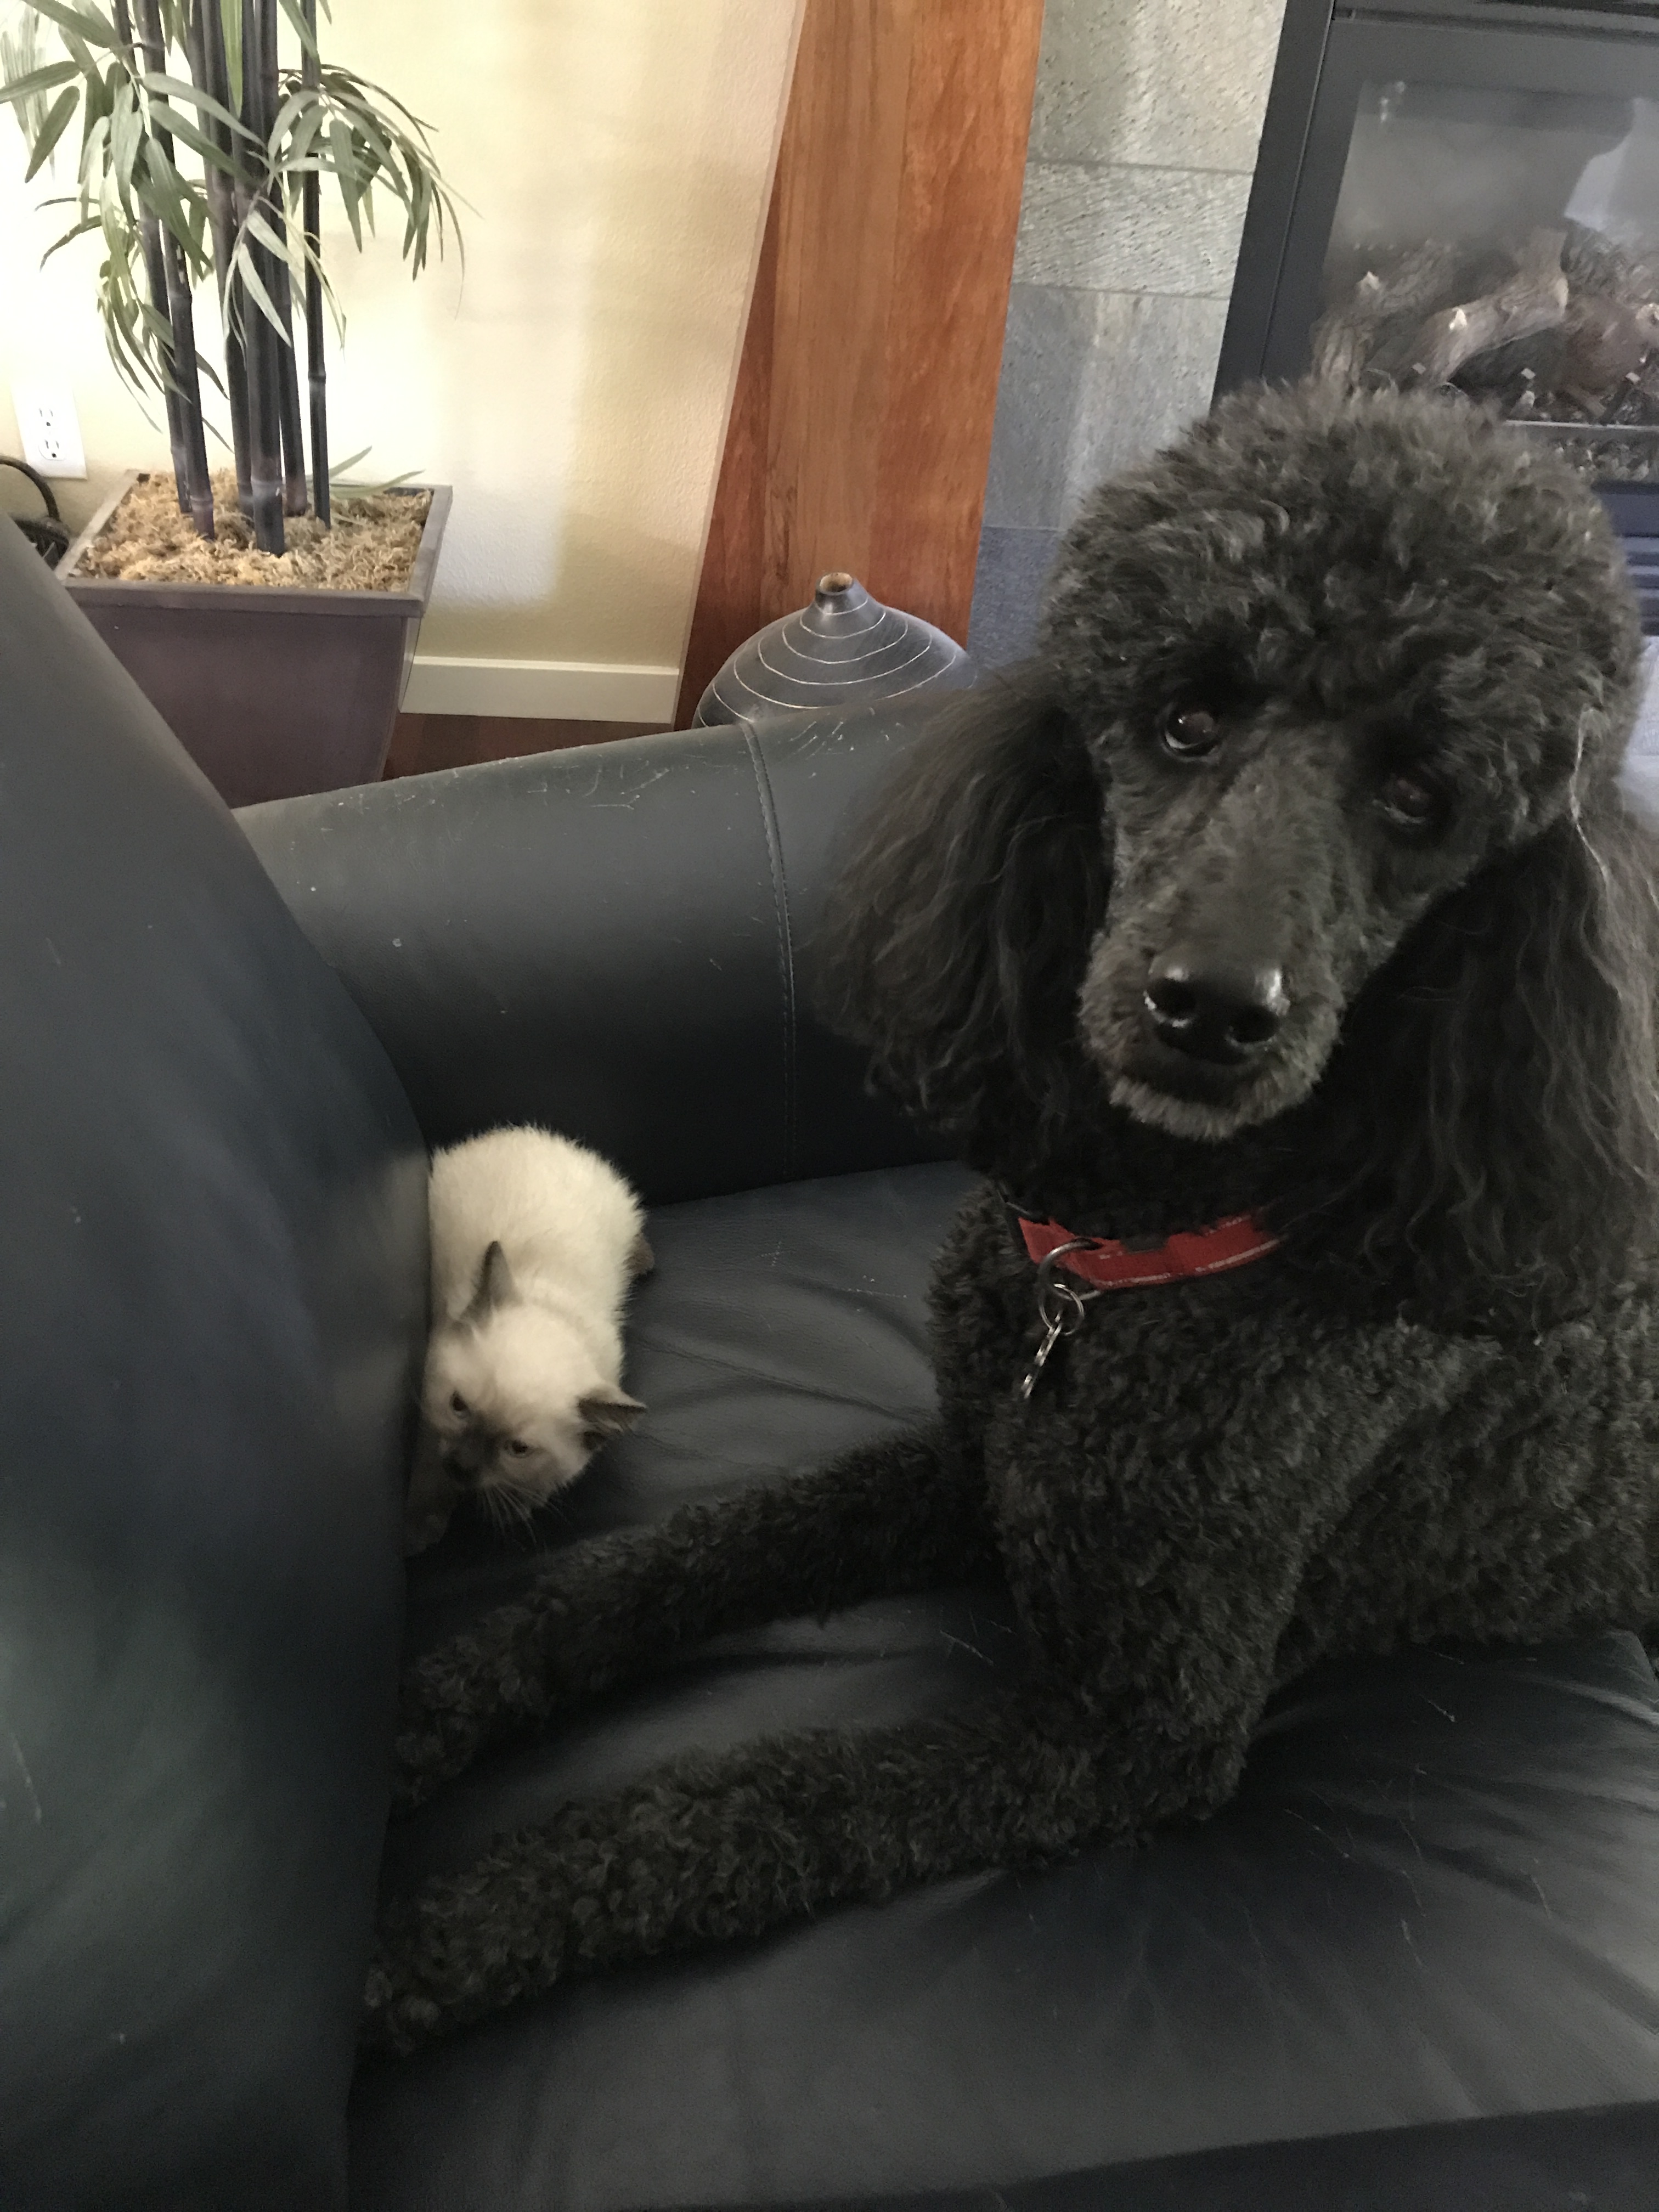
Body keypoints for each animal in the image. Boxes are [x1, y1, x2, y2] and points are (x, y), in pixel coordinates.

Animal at [404, 1126, 653, 1553]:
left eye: (517, 1450)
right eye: (458, 1407)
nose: (460, 1467)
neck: (553, 1309)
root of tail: (544, 1137)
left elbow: (535, 1487)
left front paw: (515, 1506)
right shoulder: (430, 1417)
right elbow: (428, 1471)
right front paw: (419, 1529)